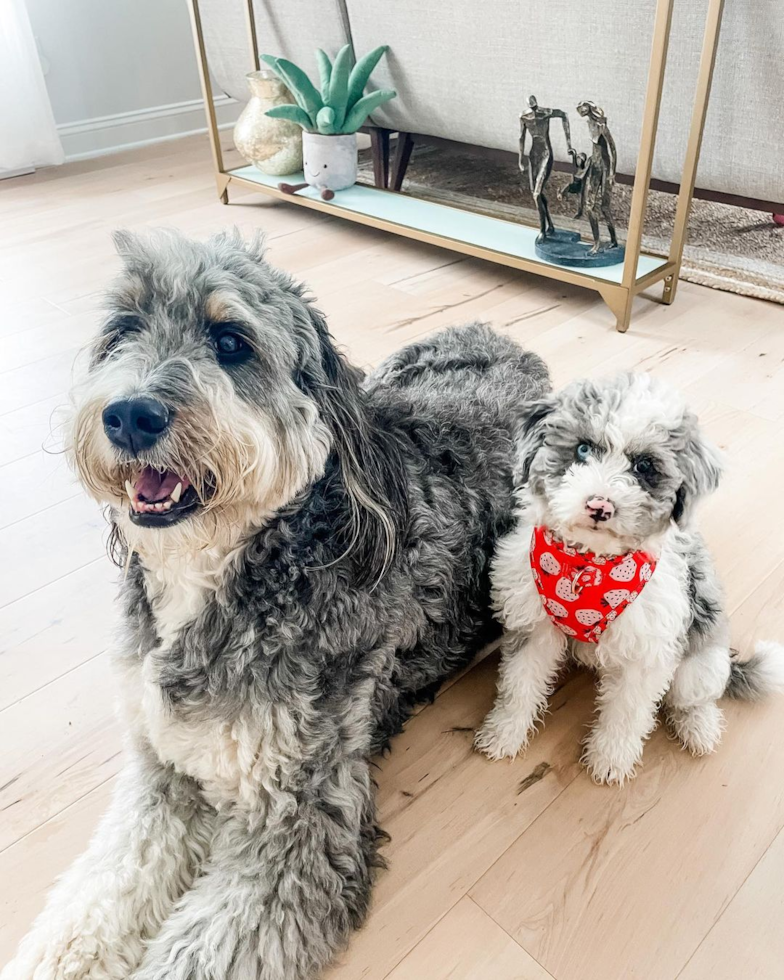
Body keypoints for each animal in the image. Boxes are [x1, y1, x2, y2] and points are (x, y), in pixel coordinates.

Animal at [3, 232, 548, 980]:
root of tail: (510, 345)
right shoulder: (163, 770)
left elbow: (195, 954)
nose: (130, 415)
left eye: (231, 341)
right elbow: (98, 896)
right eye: (122, 330)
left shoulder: (299, 822)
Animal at [474, 372, 780, 784]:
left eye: (645, 466)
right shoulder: (533, 628)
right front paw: (504, 733)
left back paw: (699, 728)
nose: (599, 506)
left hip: (699, 661)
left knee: (694, 698)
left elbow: (626, 713)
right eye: (583, 449)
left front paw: (610, 759)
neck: (588, 566)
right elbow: (519, 685)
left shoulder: (646, 654)